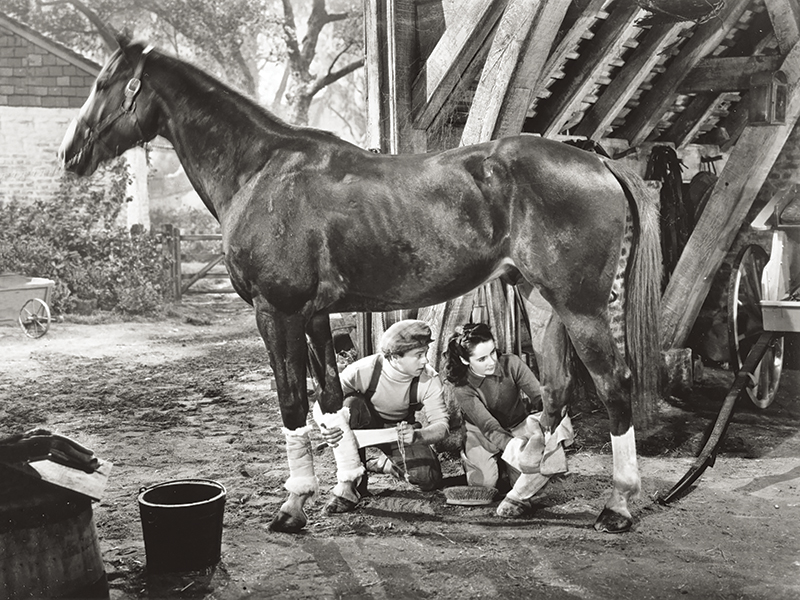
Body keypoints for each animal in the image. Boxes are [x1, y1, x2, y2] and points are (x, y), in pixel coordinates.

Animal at [59, 38, 662, 534]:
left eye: (104, 82)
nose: (69, 153)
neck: (262, 170)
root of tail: (597, 162)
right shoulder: (314, 314)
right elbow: (329, 402)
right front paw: (346, 488)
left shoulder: (275, 311)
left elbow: (291, 403)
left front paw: (293, 505)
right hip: (541, 300)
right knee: (556, 389)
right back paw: (520, 492)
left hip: (580, 307)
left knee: (613, 386)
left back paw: (618, 506)